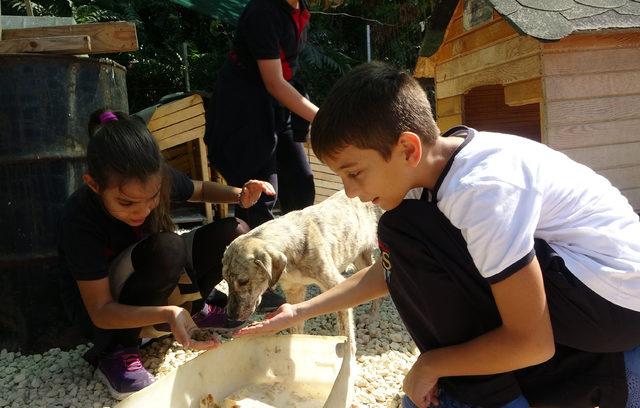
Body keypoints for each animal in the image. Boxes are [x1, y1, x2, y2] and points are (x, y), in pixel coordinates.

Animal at [221, 190, 380, 350]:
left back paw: (372, 316)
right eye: (226, 281)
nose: (231, 316)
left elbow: (347, 335)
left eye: (243, 281)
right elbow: (295, 325)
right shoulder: (294, 291)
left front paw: (348, 353)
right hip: (360, 257)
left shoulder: (337, 286)